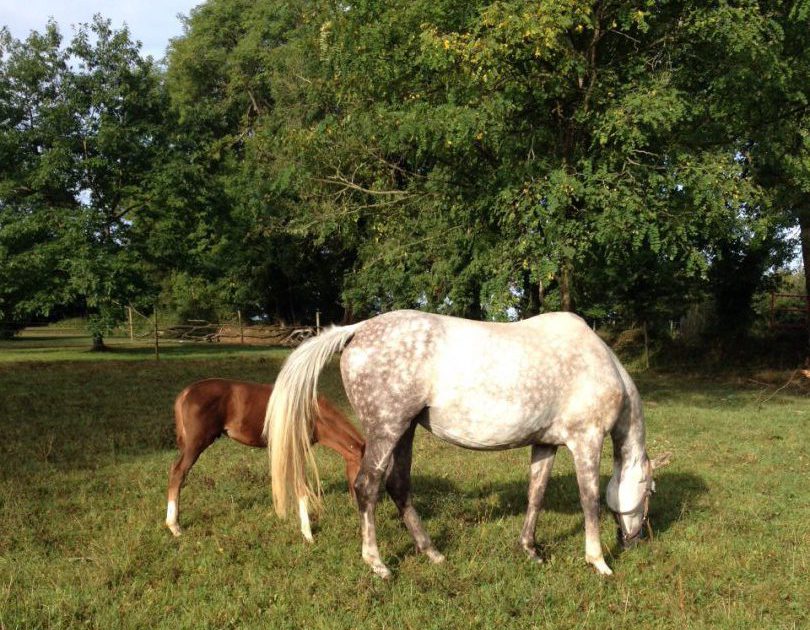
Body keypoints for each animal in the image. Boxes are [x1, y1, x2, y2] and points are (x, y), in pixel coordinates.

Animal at [166, 380, 362, 544]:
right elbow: (301, 486)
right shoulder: (297, 449)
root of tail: (186, 392)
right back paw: (174, 526)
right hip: (196, 444)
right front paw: (308, 534)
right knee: (177, 472)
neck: (313, 412)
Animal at [266, 308, 668, 580]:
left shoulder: (545, 444)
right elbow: (590, 501)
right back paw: (378, 564)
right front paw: (598, 561)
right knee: (367, 487)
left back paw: (432, 553)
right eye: (650, 489)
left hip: (405, 431)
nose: (636, 540)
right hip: (387, 430)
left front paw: (530, 550)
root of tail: (358, 329)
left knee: (399, 486)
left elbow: (535, 494)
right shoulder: (586, 440)